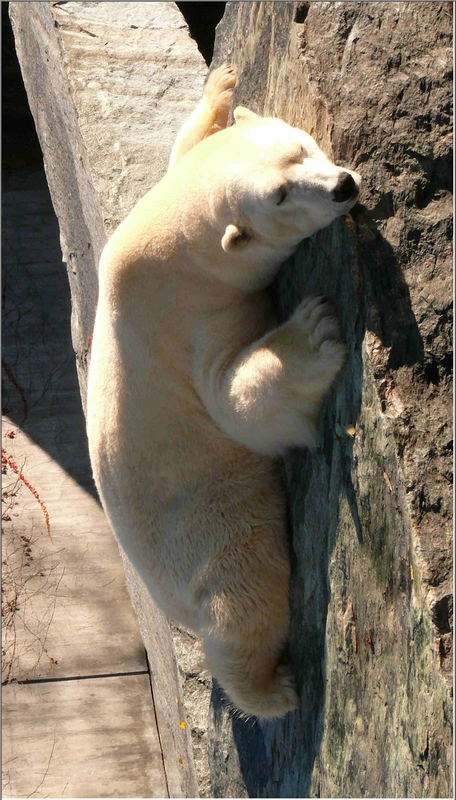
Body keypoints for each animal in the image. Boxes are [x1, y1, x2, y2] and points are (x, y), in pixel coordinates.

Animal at [87, 64, 362, 720]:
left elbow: (184, 149)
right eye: (281, 197)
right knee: (247, 602)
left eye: (303, 148)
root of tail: (168, 608)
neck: (168, 250)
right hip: (213, 539)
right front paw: (314, 333)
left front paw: (223, 87)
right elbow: (233, 405)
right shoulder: (193, 321)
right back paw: (271, 690)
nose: (343, 186)